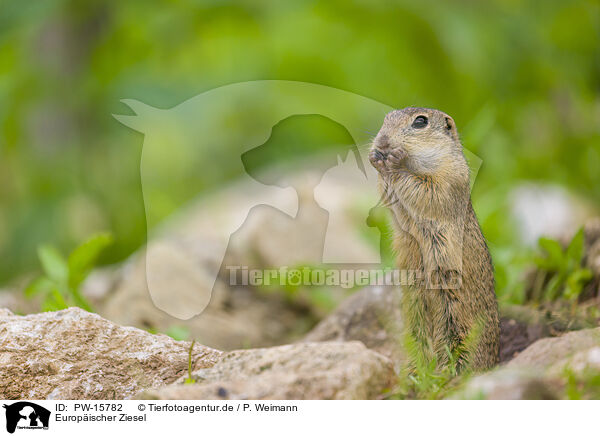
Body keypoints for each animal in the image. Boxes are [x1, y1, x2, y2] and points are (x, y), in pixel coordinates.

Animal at [368, 108, 500, 372]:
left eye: (420, 121)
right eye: (386, 118)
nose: (382, 142)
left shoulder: (450, 176)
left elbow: (429, 191)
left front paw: (394, 162)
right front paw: (376, 159)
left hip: (455, 320)